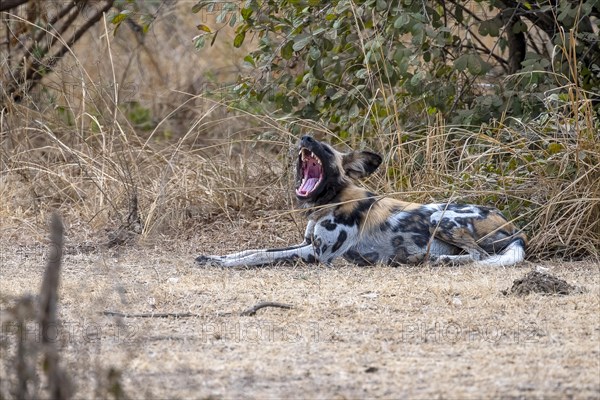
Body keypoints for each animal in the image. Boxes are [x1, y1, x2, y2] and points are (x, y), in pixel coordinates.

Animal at [197, 135, 524, 268]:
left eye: (325, 149)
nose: (305, 138)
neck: (326, 203)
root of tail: (515, 227)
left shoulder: (316, 255)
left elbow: (257, 257)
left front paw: (224, 264)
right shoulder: (305, 244)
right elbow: (253, 249)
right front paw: (215, 258)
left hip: (437, 215)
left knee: (478, 256)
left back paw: (436, 260)